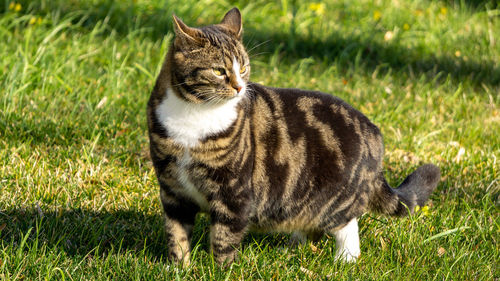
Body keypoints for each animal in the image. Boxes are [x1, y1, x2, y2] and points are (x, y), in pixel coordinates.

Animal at [146, 7, 442, 264]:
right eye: (219, 71)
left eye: (243, 68)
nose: (240, 87)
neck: (194, 114)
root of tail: (374, 132)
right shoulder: (172, 189)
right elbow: (176, 235)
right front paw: (178, 267)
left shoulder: (233, 192)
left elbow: (223, 239)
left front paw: (220, 270)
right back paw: (292, 247)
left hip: (334, 197)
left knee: (347, 225)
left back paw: (344, 260)